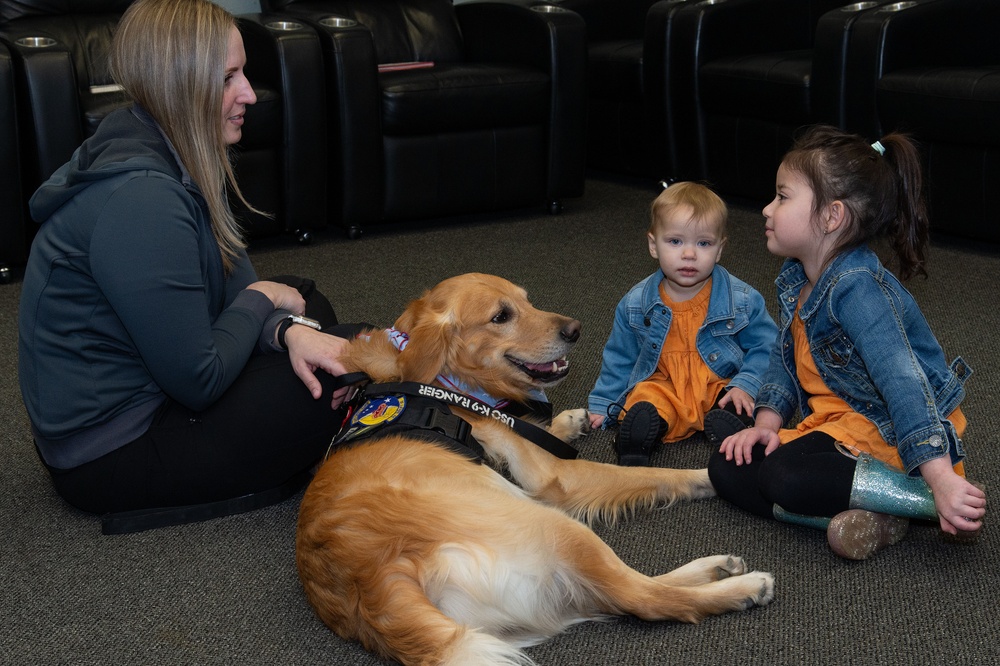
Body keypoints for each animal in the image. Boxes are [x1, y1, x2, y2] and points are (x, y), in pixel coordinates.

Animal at [294, 272, 772, 660]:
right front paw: (713, 473)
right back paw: (741, 588)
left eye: (526, 300)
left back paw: (716, 568)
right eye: (501, 316)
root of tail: (373, 585)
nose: (575, 330)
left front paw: (569, 421)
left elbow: (543, 429)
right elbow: (654, 475)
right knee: (644, 596)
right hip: (557, 527)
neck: (446, 384)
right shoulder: (557, 477)